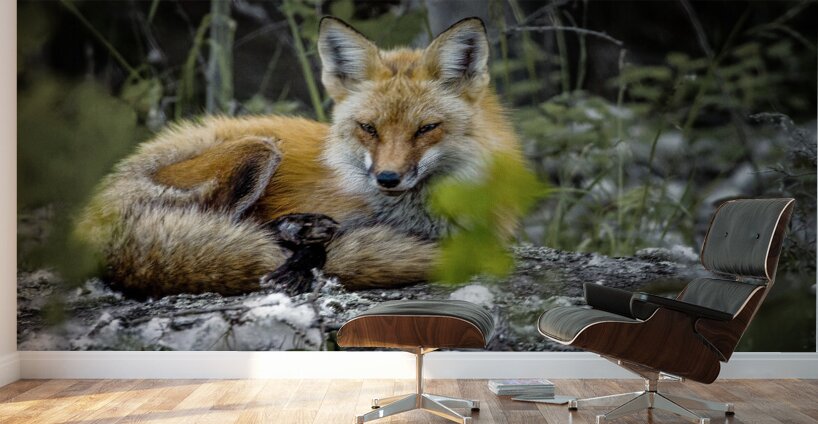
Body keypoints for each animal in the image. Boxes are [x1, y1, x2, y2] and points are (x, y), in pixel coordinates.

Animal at [75, 16, 523, 298]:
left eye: (426, 129)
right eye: (369, 128)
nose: (387, 178)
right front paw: (303, 255)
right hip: (258, 149)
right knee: (226, 223)